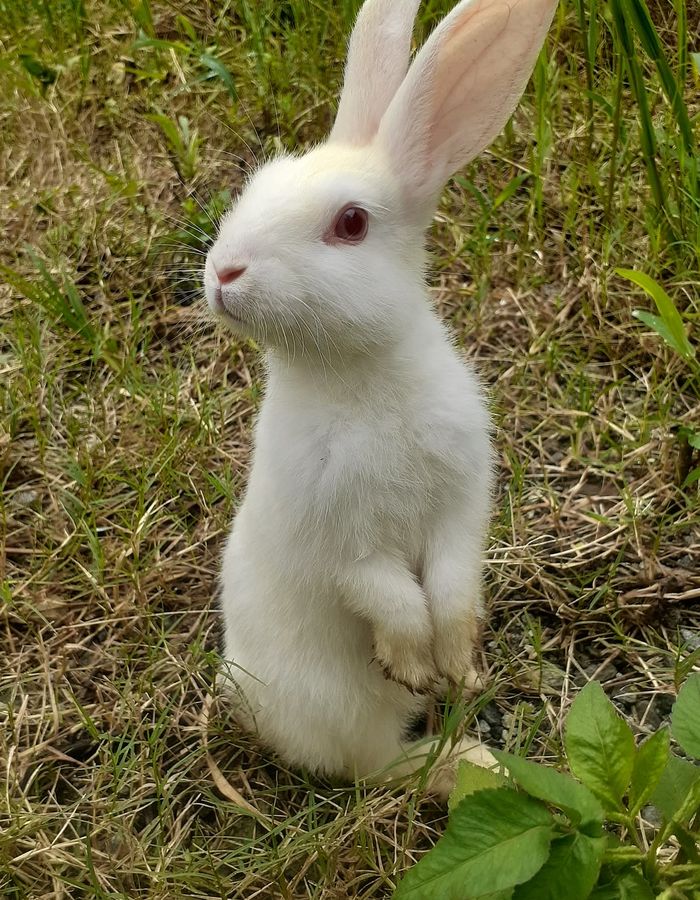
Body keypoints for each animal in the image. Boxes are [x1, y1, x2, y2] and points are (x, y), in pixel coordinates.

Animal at [202, 0, 558, 798]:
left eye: (351, 223)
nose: (223, 272)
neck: (362, 380)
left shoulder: (463, 503)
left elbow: (452, 581)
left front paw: (455, 659)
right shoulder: (345, 545)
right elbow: (389, 596)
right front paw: (415, 663)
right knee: (381, 769)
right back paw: (474, 763)